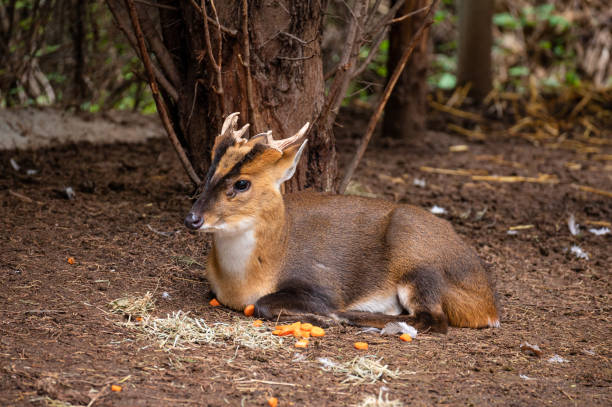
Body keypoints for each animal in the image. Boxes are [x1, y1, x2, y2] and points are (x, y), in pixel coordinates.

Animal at [184, 113, 500, 334]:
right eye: (209, 172)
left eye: (242, 183)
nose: (192, 218)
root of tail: (487, 305)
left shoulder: (322, 284)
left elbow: (265, 304)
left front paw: (324, 317)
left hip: (420, 263)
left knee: (433, 319)